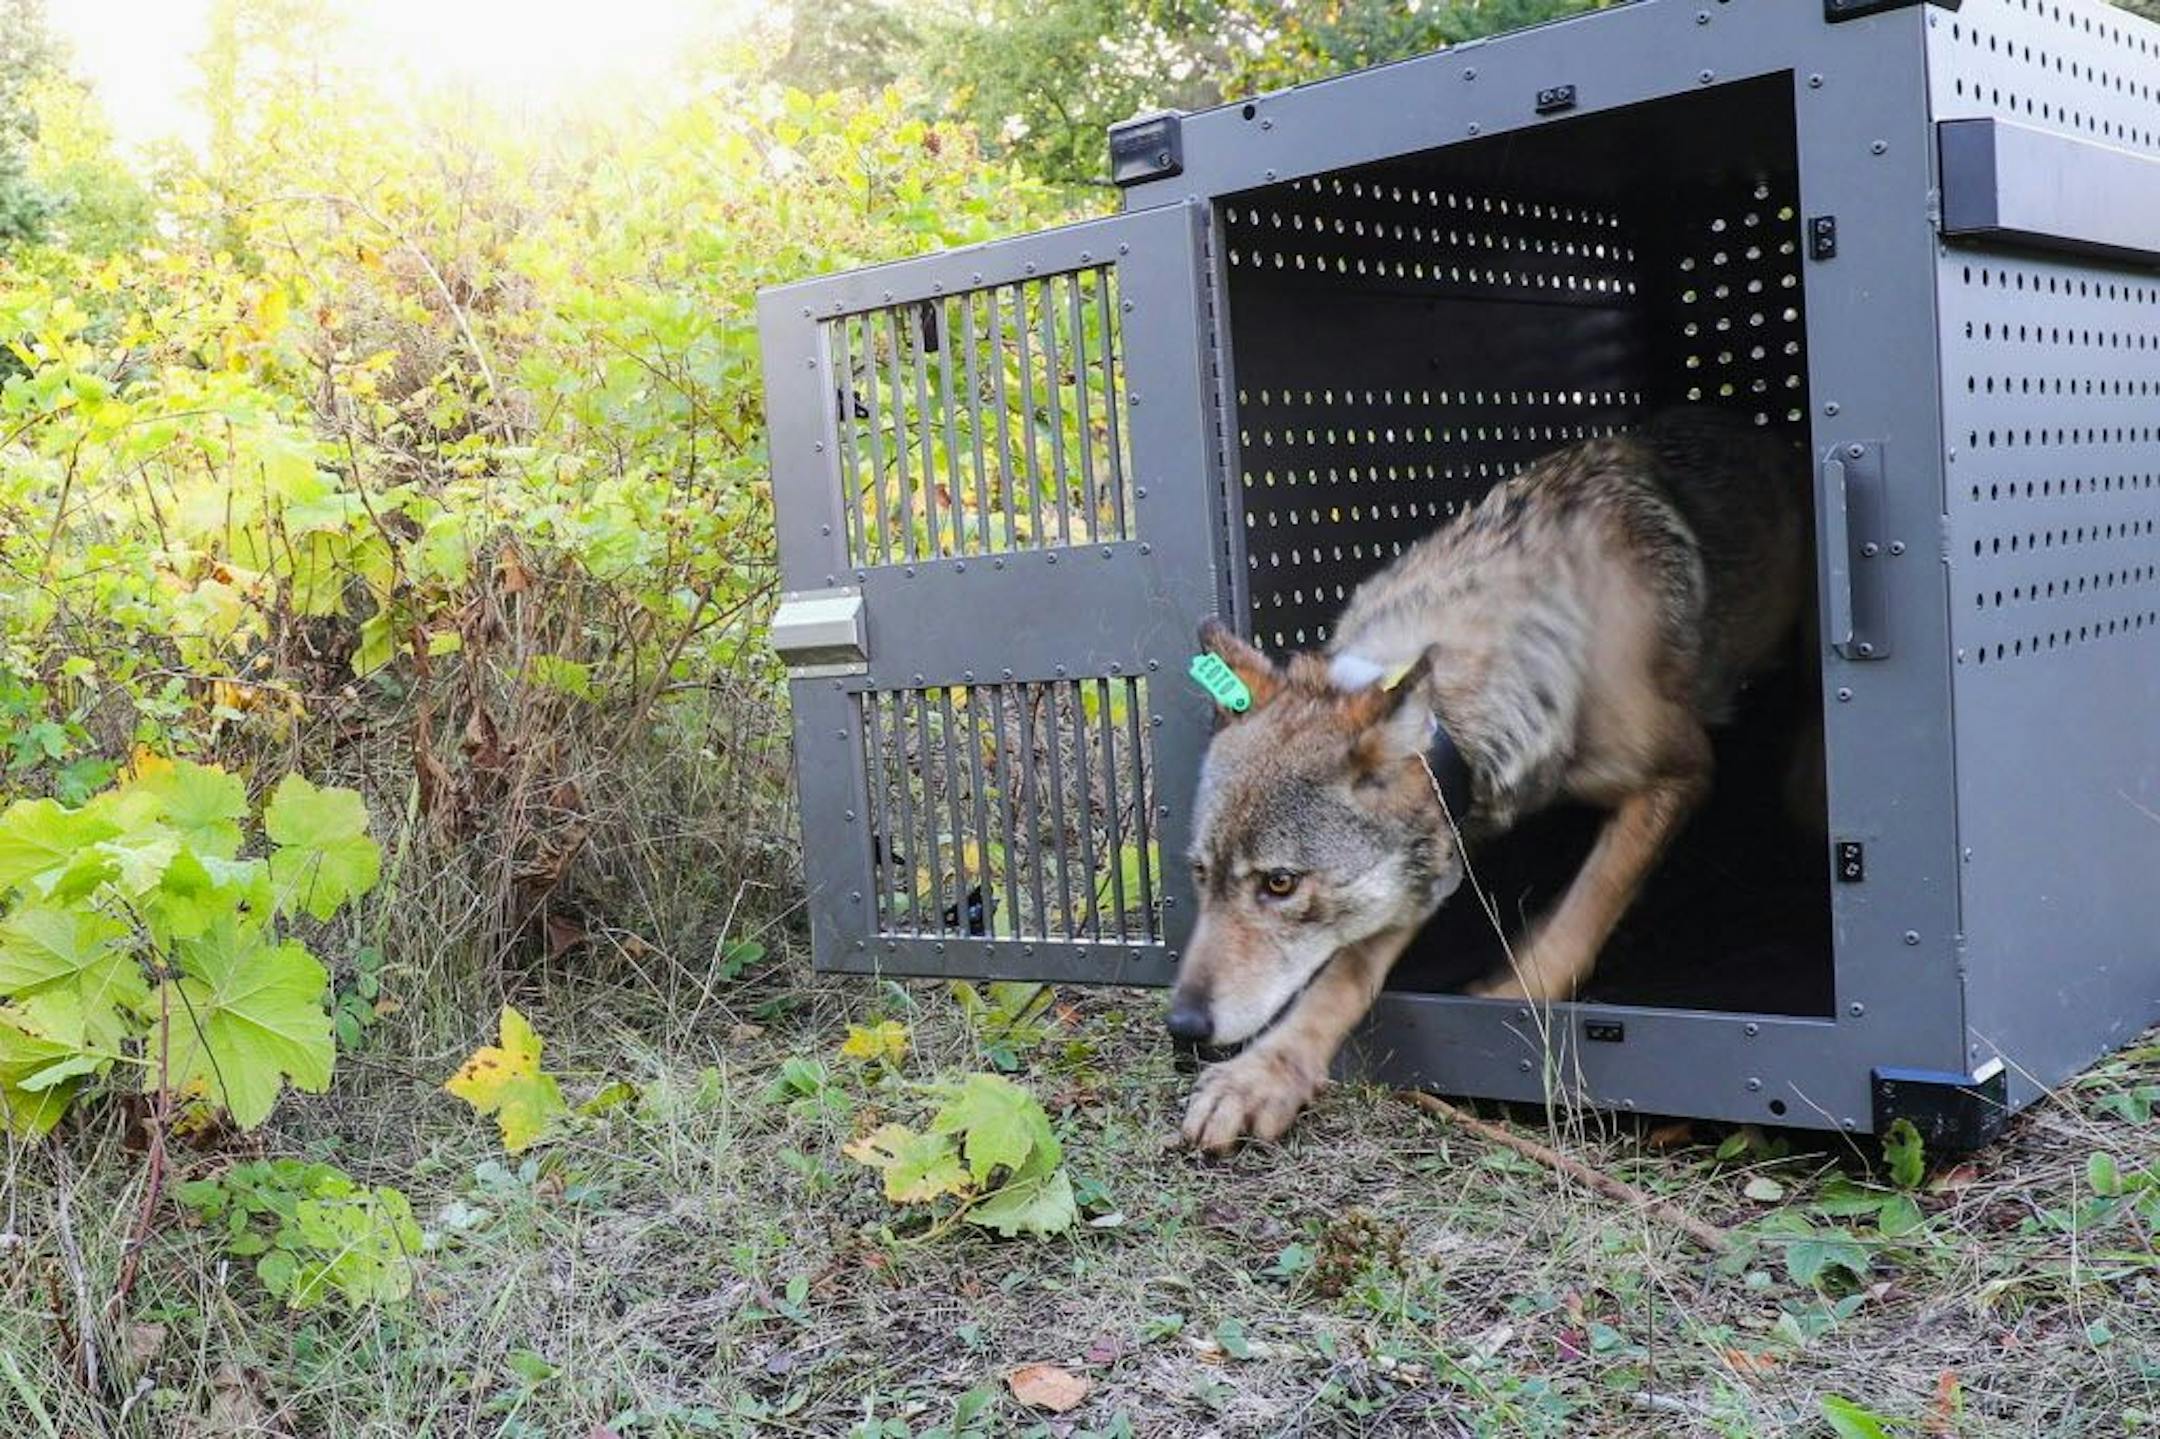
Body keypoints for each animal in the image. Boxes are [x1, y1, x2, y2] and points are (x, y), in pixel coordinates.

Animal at [1169, 407, 1809, 1152]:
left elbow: (1585, 907)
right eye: (1201, 874)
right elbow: (1344, 973)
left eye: (1279, 884)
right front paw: (1263, 1075)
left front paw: (1509, 1000)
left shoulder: (1681, 770)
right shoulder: (1441, 841)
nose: (1181, 1026)